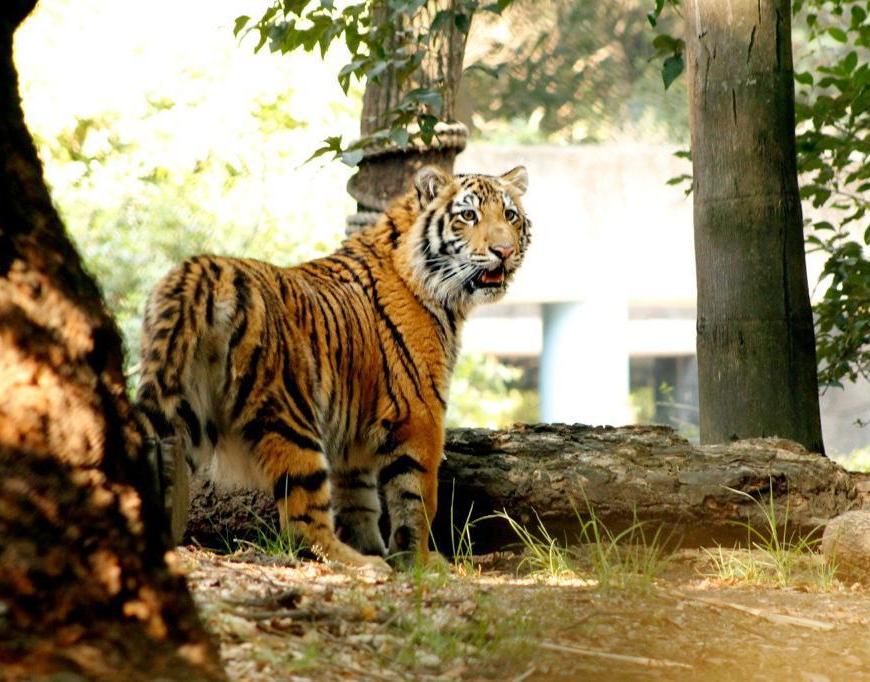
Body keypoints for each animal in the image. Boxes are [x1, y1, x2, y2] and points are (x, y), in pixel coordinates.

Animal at [135, 165, 530, 571]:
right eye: (468, 215)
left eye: (510, 215)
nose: (504, 251)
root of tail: (204, 271)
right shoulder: (421, 414)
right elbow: (417, 498)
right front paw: (419, 561)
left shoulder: (354, 427)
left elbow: (360, 500)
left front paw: (376, 548)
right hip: (291, 416)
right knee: (302, 521)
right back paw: (359, 563)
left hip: (186, 409)